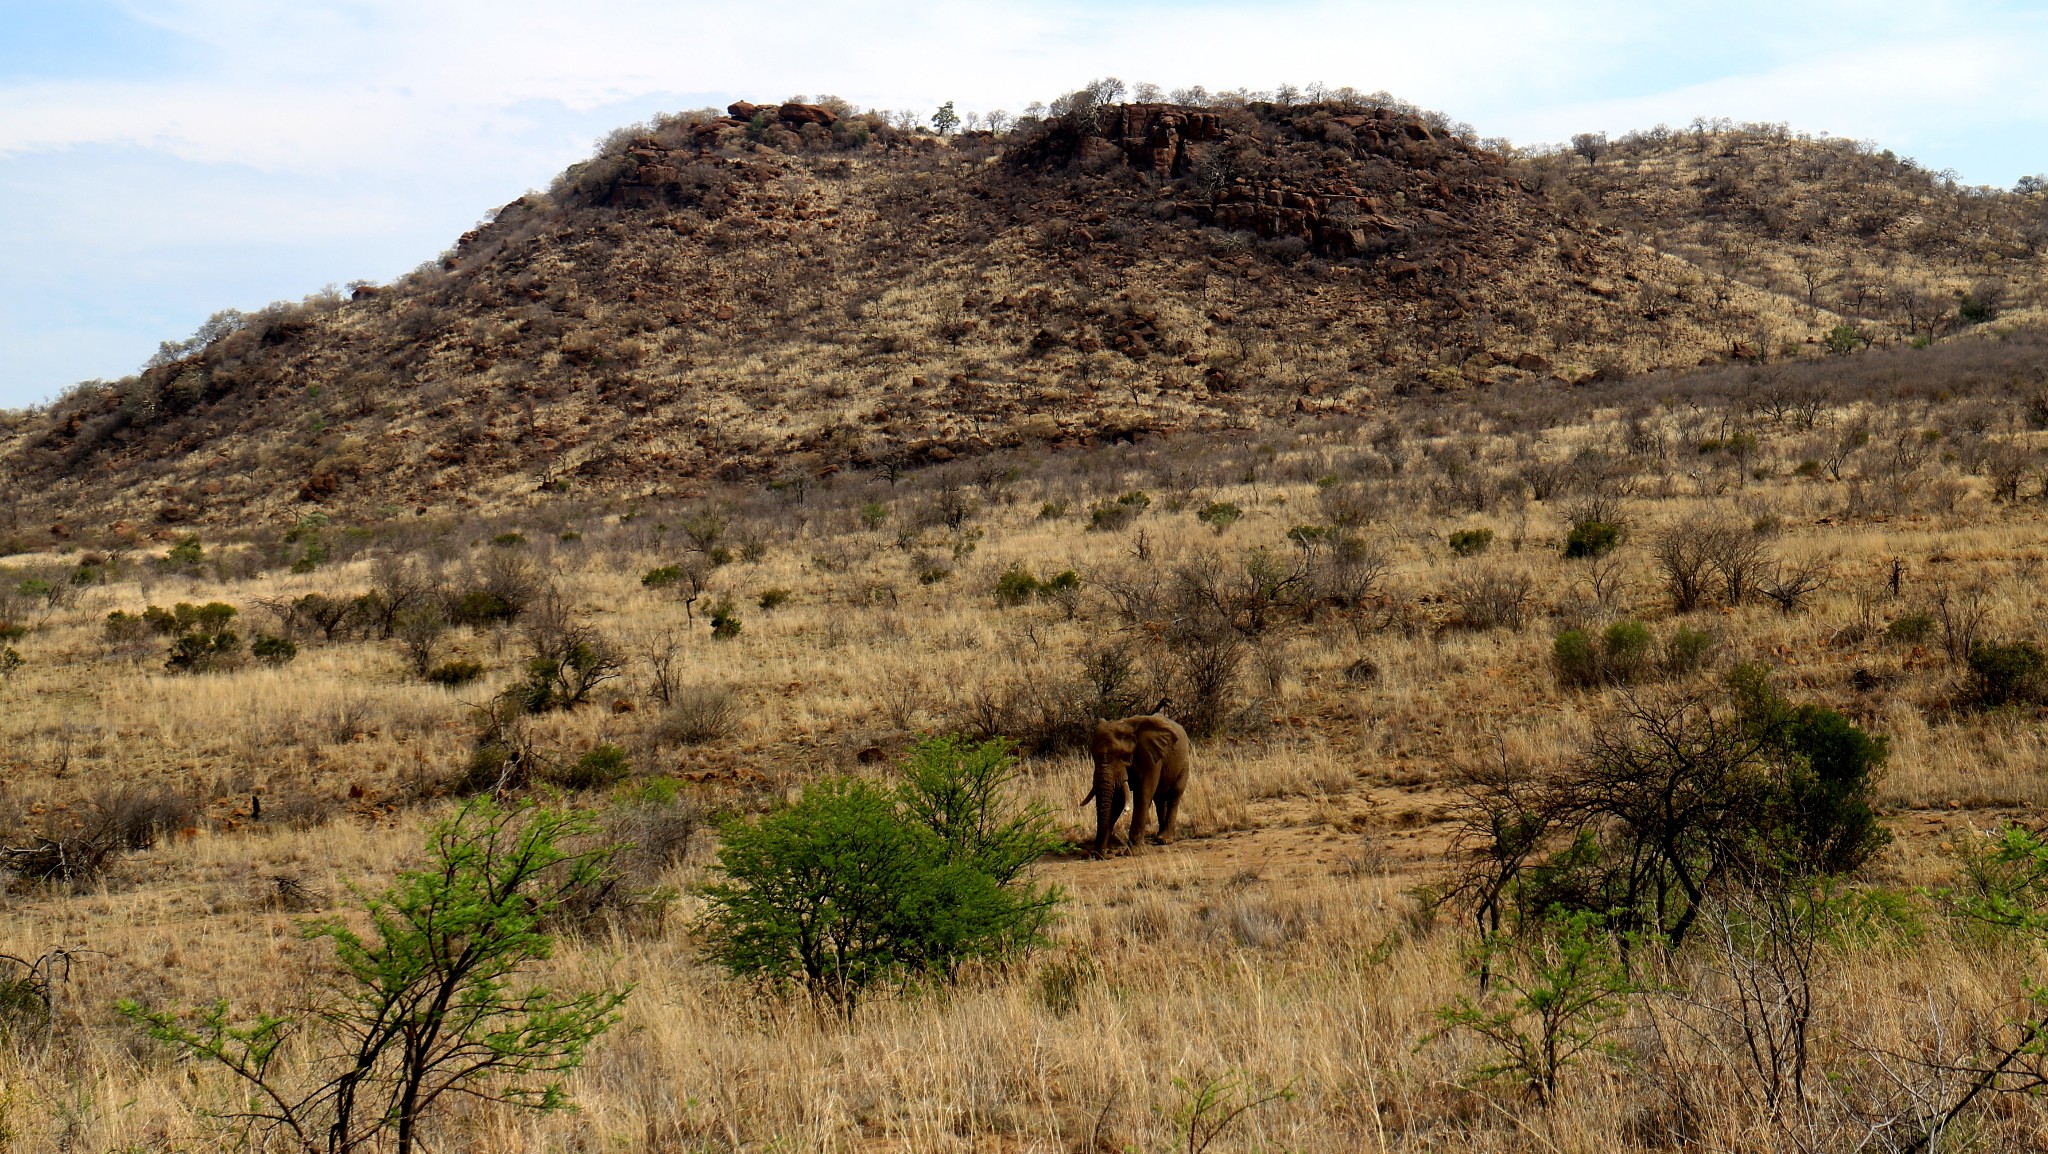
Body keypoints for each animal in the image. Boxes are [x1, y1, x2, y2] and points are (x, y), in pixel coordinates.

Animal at [1081, 709, 1196, 860]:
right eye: (1093, 755)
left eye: (1123, 755)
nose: (1108, 855)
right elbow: (1117, 800)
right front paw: (1099, 853)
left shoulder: (1150, 757)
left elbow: (1143, 794)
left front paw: (1132, 853)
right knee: (1159, 799)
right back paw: (1159, 837)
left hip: (1184, 763)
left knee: (1174, 795)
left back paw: (1165, 839)